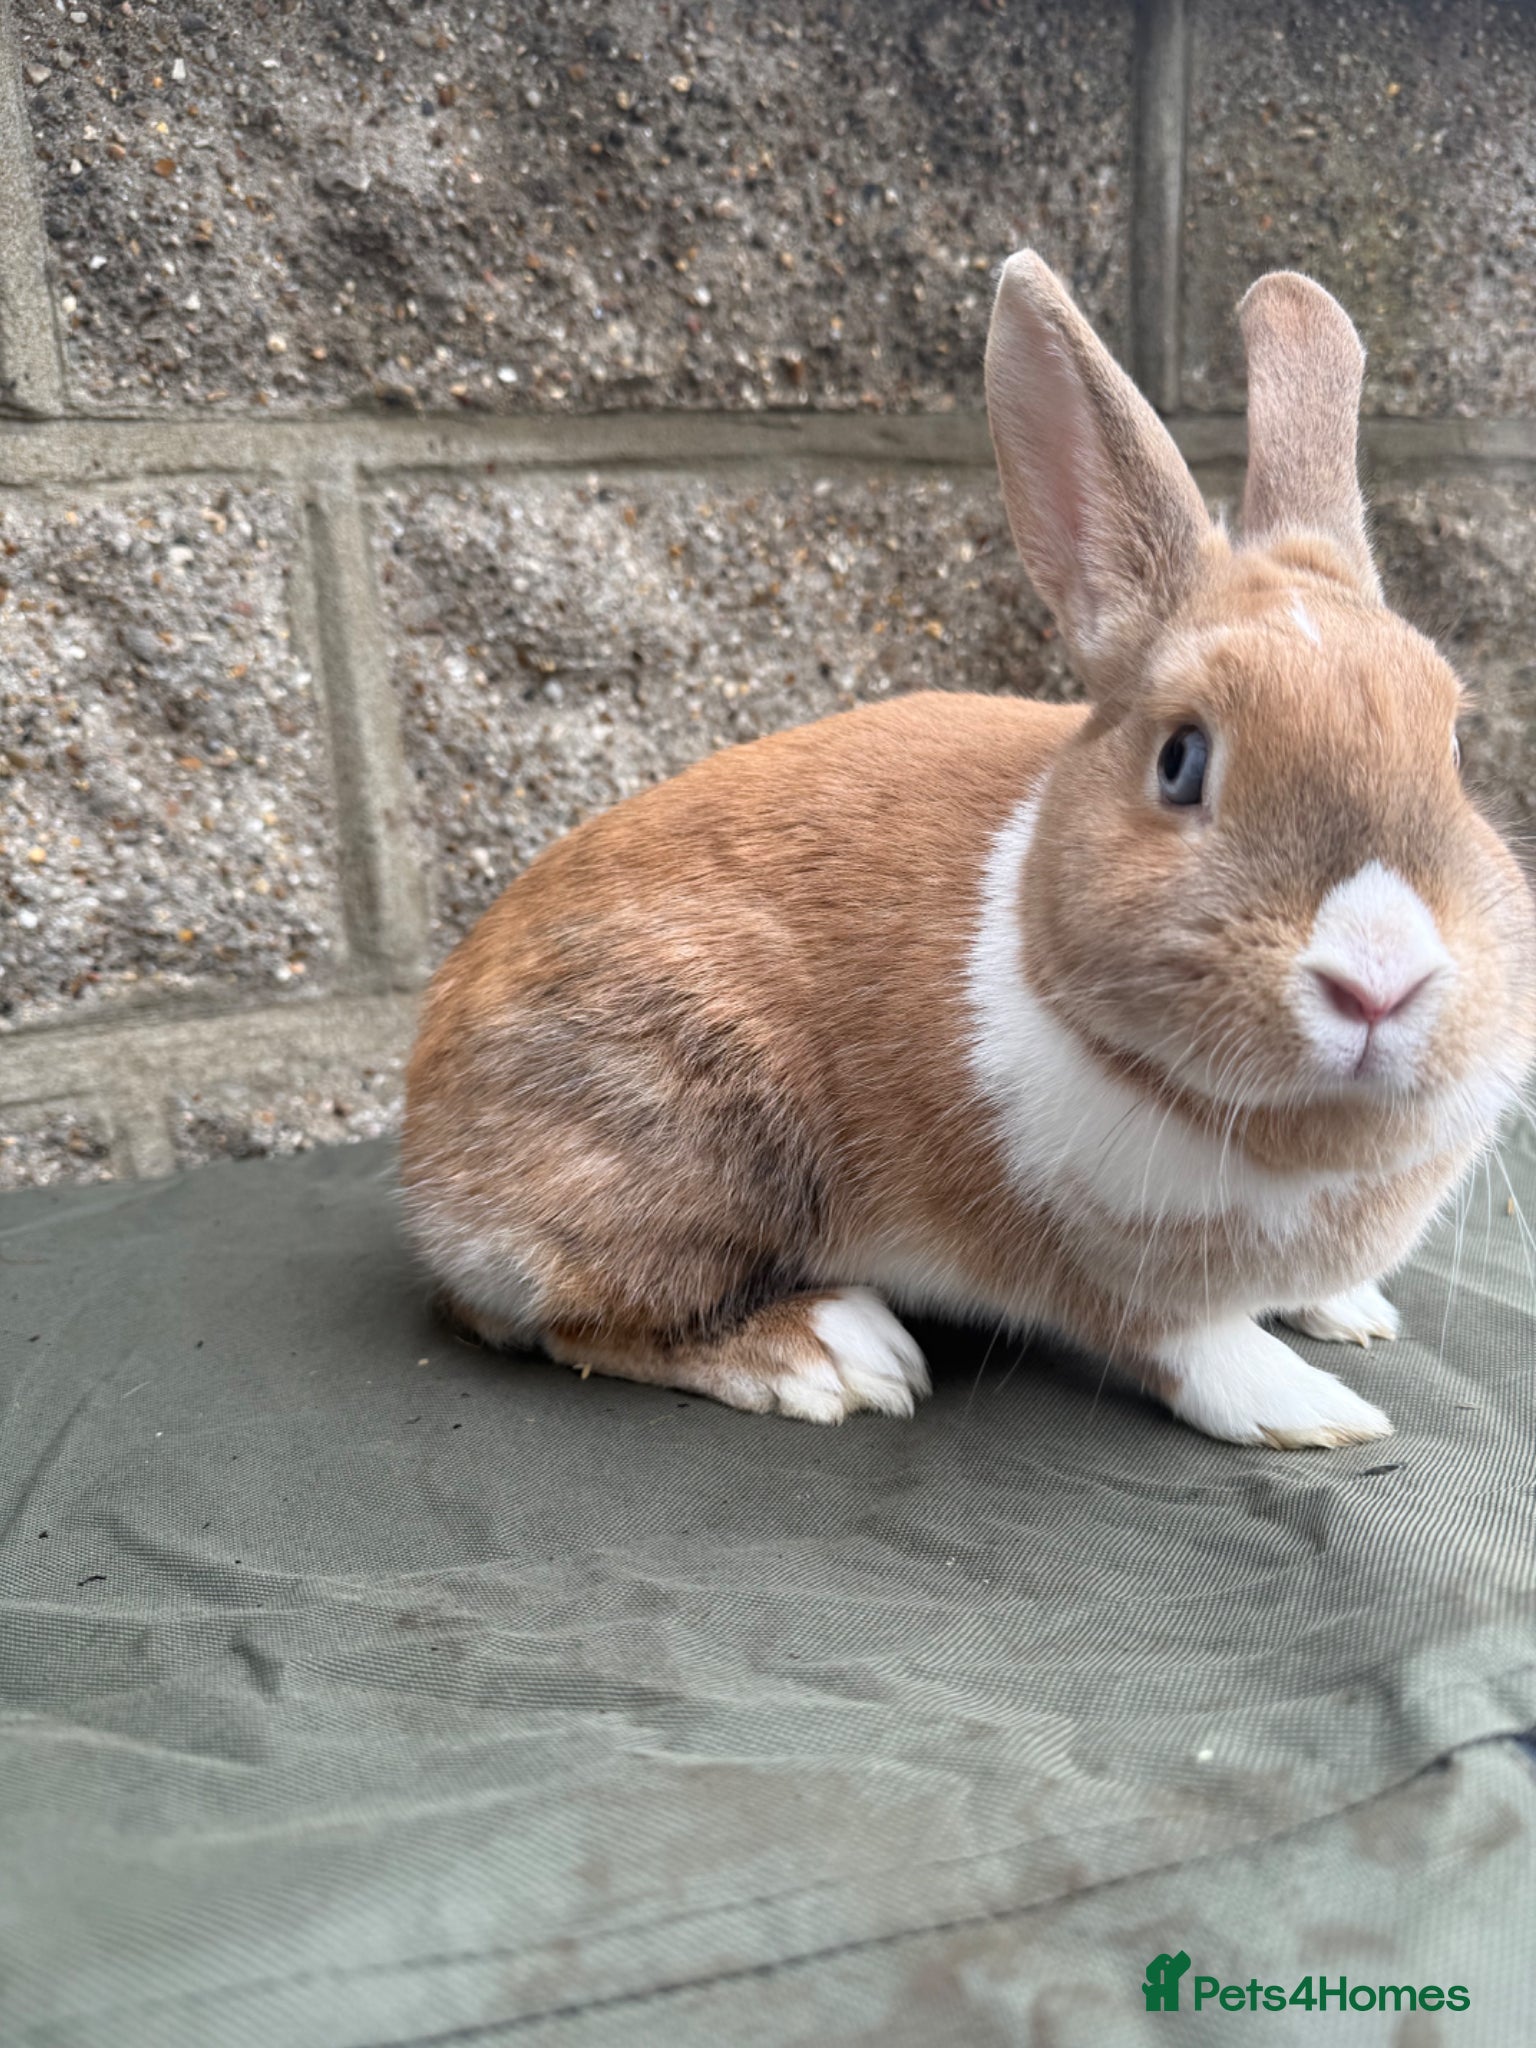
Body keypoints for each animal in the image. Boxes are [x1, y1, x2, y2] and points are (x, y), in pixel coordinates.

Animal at [401, 251, 1536, 1449]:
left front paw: (1354, 1314)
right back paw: (833, 1354)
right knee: (580, 1319)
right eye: (1182, 760)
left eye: (1455, 748)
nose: (1380, 983)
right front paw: (1315, 1412)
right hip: (684, 1133)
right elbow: (1191, 1347)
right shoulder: (1102, 1268)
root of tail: (425, 1158)